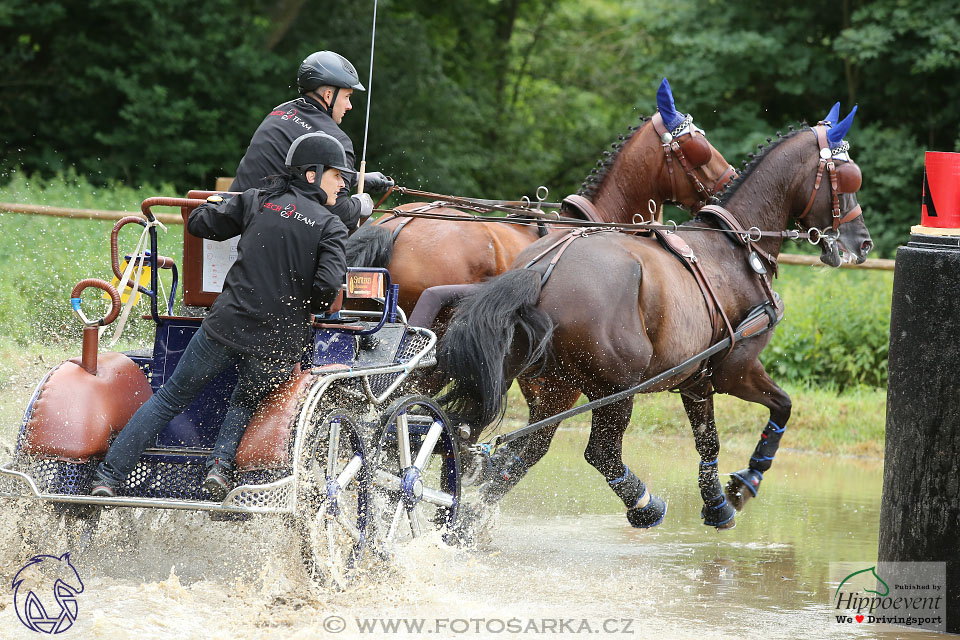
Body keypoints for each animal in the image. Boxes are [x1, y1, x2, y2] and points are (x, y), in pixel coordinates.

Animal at [438, 105, 872, 532]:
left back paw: (462, 524)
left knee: (498, 444)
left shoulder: (696, 379)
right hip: (614, 388)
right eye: (848, 177)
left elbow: (708, 441)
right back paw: (645, 506)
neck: (736, 246)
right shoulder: (736, 368)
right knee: (600, 453)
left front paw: (717, 502)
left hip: (550, 386)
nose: (863, 242)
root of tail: (541, 270)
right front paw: (745, 483)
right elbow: (783, 405)